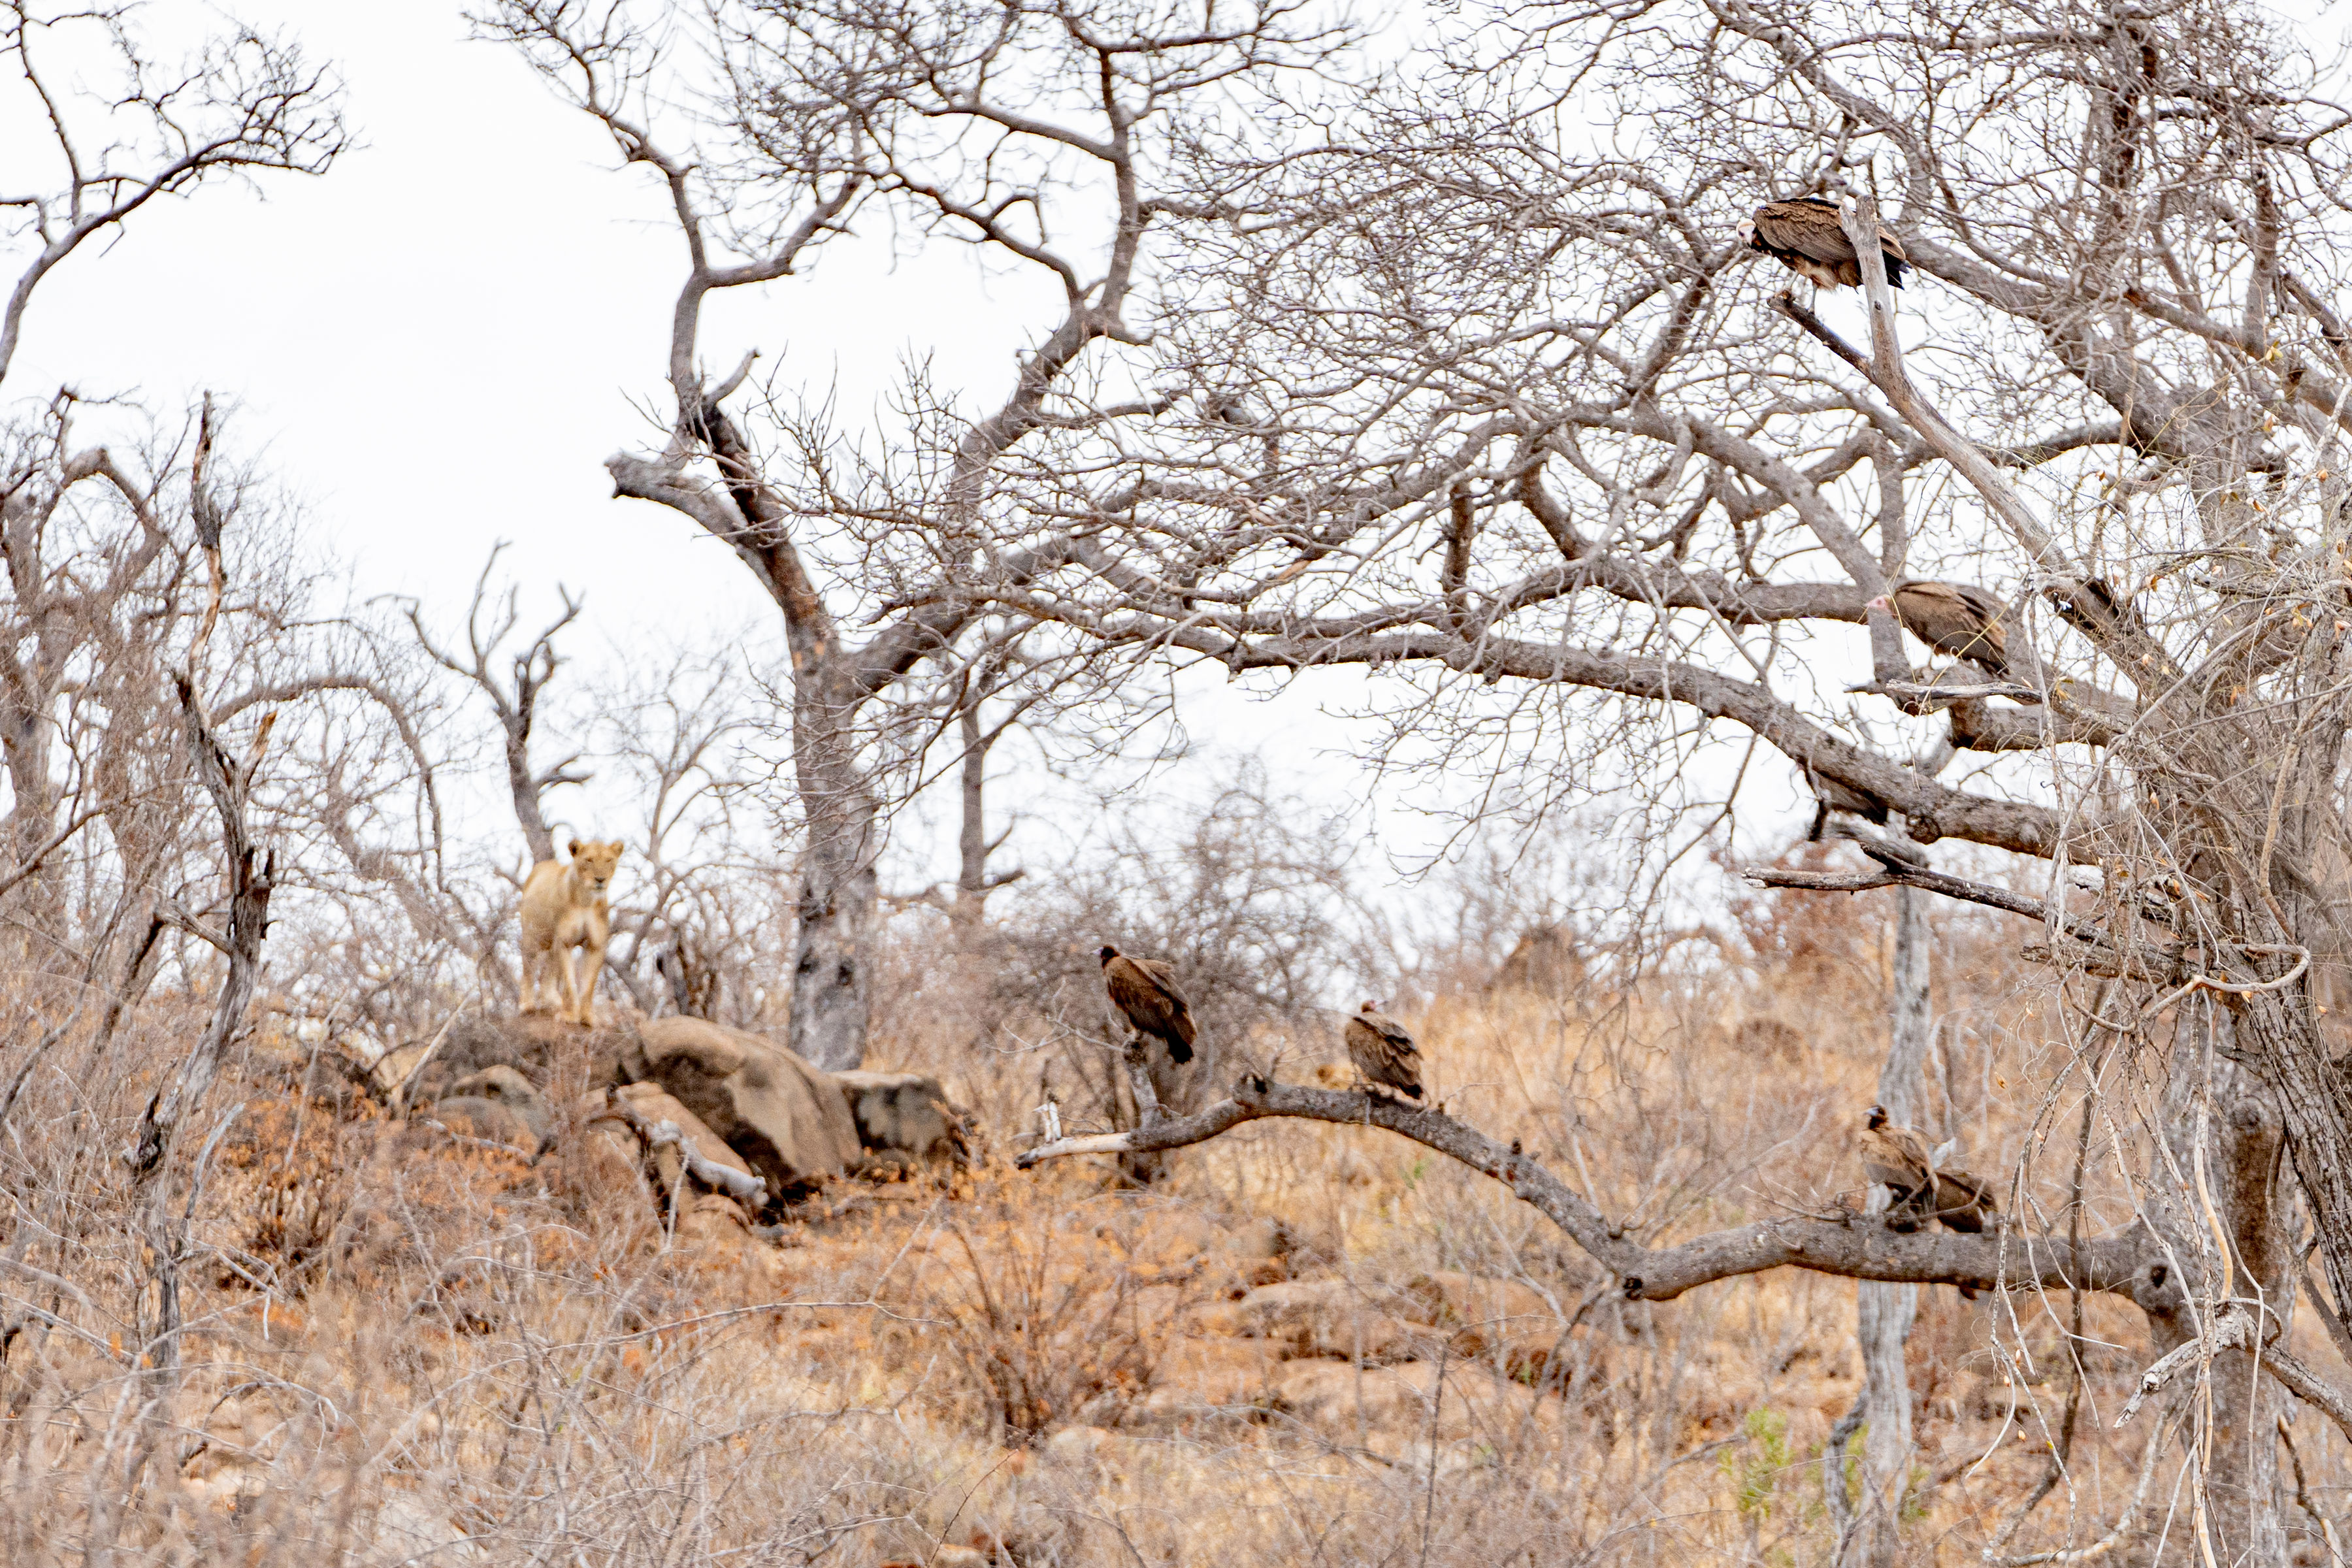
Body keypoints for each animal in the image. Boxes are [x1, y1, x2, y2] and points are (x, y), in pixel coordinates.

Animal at [519, 838, 625, 1025]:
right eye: (589, 860)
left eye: (608, 860)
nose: (600, 879)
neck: (587, 901)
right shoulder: (565, 942)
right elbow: (569, 983)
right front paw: (570, 1016)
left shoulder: (596, 945)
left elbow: (589, 985)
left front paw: (588, 1018)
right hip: (533, 937)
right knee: (529, 969)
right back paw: (527, 1005)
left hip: (552, 944)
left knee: (548, 971)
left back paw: (551, 1001)